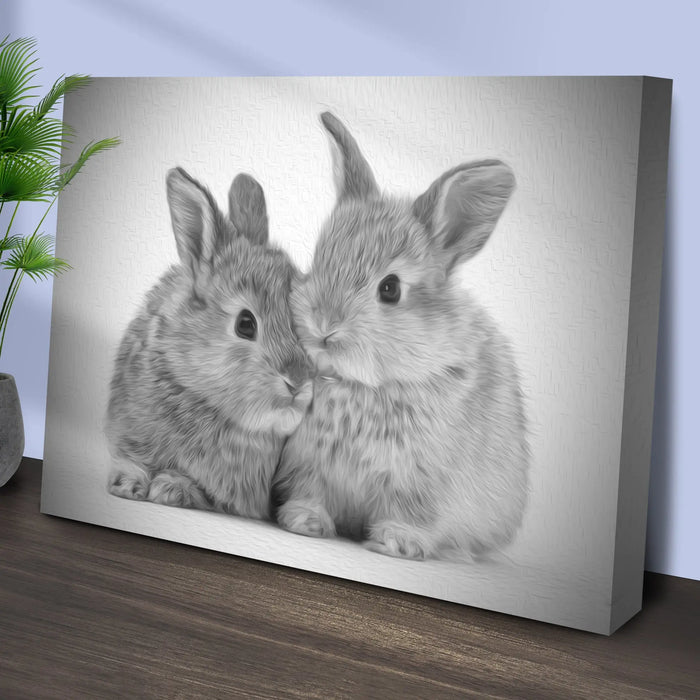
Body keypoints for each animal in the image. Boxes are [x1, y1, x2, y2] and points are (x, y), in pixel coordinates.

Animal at [271, 112, 529, 560]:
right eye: (319, 261)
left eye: (390, 289)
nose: (323, 326)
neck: (363, 384)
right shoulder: (308, 464)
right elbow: (310, 491)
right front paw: (304, 521)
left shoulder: (421, 480)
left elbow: (411, 512)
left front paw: (398, 541)